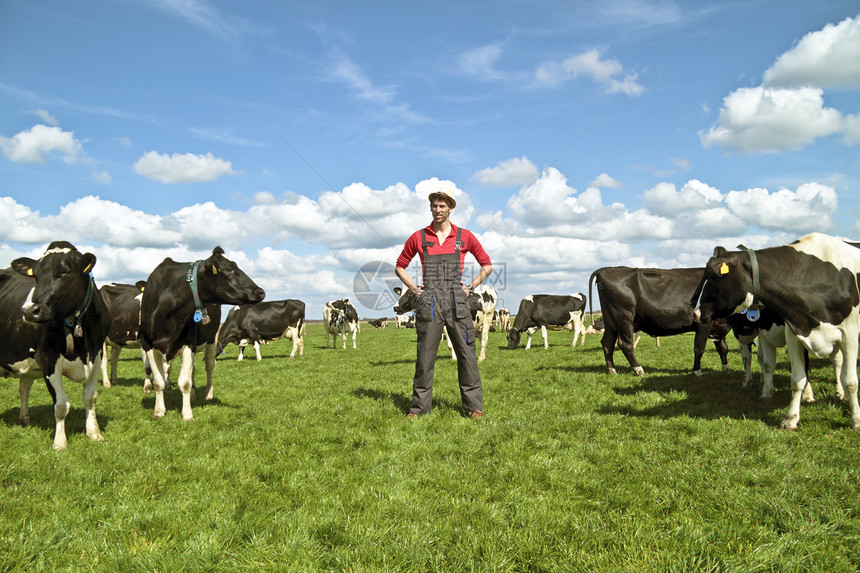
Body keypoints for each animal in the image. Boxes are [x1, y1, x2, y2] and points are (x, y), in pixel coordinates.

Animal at [0, 239, 111, 450]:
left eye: (64, 272)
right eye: (35, 275)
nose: (29, 311)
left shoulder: (97, 354)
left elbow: (90, 397)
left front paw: (94, 433)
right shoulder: (48, 359)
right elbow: (61, 405)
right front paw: (60, 442)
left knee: (24, 386)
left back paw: (24, 418)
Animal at [139, 247, 266, 420]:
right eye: (229, 269)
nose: (260, 292)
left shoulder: (189, 343)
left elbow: (185, 382)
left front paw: (187, 414)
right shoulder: (149, 345)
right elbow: (158, 381)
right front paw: (159, 411)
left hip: (213, 340)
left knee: (209, 366)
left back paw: (208, 393)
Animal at [592, 268, 732, 378]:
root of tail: (604, 270)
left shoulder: (719, 328)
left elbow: (723, 349)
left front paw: (726, 368)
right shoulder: (704, 325)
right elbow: (699, 348)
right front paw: (697, 371)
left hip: (611, 323)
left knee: (607, 343)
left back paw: (612, 371)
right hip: (624, 319)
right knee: (625, 344)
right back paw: (640, 371)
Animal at [692, 232, 860, 428]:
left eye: (711, 277)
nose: (695, 312)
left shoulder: (849, 334)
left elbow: (850, 381)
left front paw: (856, 420)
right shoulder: (794, 332)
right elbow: (796, 377)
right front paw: (791, 418)